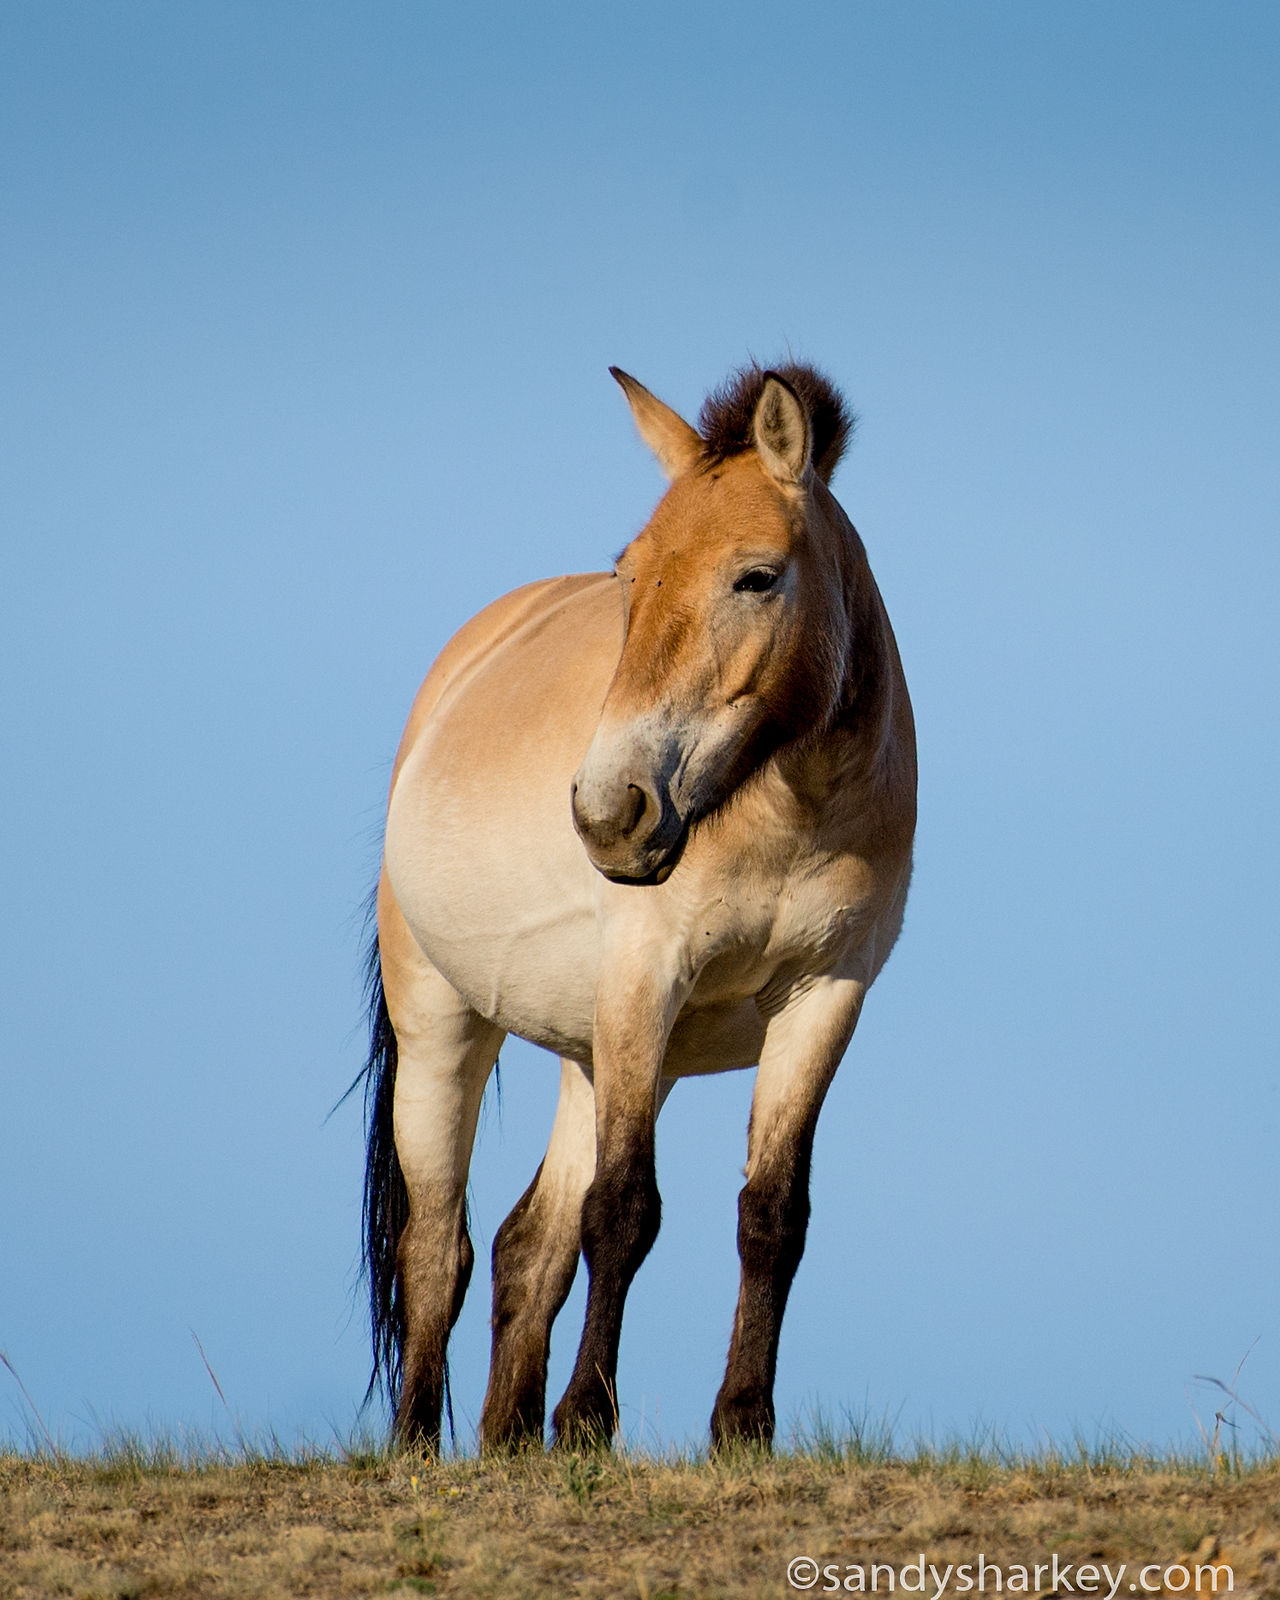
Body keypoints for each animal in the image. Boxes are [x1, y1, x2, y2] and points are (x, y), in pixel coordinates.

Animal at [360, 361, 917, 1452]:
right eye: (632, 573)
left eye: (756, 577)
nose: (609, 814)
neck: (785, 810)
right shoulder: (643, 979)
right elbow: (622, 1210)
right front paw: (586, 1419)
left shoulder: (823, 994)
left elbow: (770, 1212)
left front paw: (741, 1424)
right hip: (447, 1021)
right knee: (435, 1245)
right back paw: (416, 1447)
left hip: (594, 1050)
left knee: (526, 1245)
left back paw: (507, 1444)